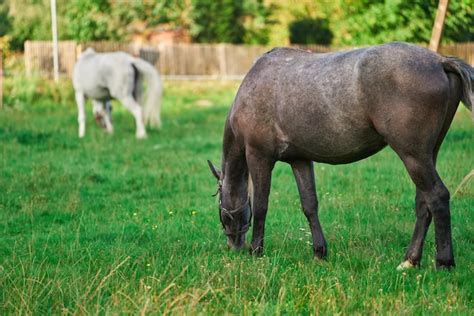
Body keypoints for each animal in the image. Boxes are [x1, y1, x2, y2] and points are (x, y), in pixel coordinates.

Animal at [209, 42, 472, 270]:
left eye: (221, 209)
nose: (233, 246)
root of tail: (440, 61)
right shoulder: (300, 160)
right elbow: (309, 205)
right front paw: (319, 252)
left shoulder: (259, 157)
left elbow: (262, 204)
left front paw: (256, 250)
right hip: (426, 155)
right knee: (423, 202)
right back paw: (410, 260)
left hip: (412, 155)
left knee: (437, 196)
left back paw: (443, 262)